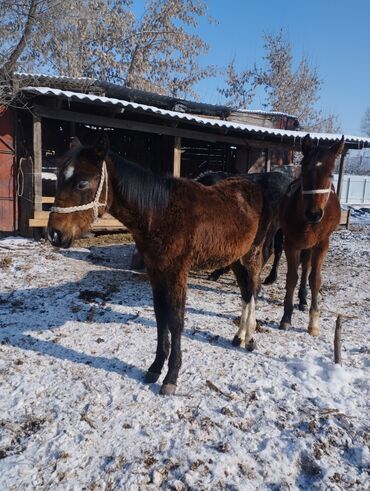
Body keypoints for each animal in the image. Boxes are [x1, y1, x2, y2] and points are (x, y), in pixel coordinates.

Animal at [46, 135, 272, 396]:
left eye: (82, 183)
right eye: (59, 178)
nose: (54, 234)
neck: (160, 213)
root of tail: (253, 187)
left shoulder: (177, 272)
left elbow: (175, 320)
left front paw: (171, 377)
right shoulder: (156, 271)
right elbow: (160, 316)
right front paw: (155, 368)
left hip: (252, 255)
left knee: (253, 290)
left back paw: (250, 339)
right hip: (235, 258)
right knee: (245, 293)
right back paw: (239, 336)